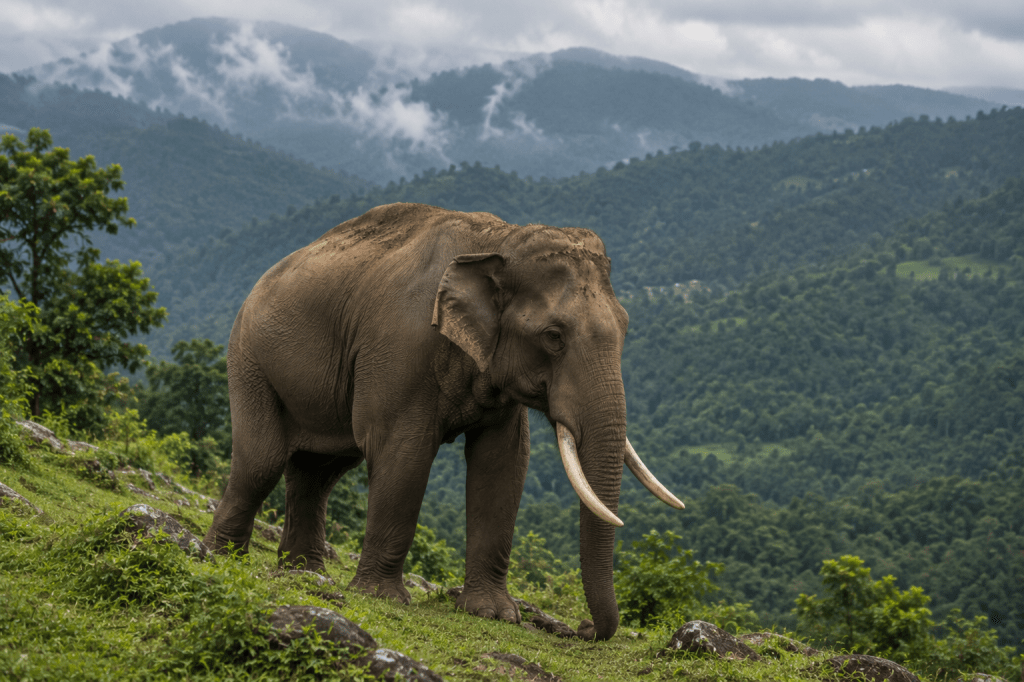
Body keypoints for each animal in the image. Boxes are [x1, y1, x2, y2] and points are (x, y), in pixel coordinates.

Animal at [203, 202, 683, 640]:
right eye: (553, 336)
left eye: (626, 327)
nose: (580, 628)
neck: (500, 239)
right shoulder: (398, 349)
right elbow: (404, 453)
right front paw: (382, 597)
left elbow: (503, 463)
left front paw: (493, 614)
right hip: (249, 360)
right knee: (264, 460)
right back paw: (222, 557)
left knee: (318, 472)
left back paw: (304, 574)